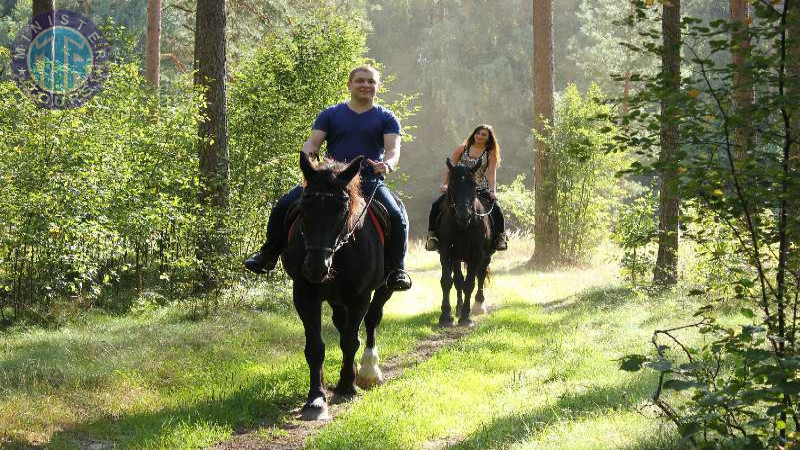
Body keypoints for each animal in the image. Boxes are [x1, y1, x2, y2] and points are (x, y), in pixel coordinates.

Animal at [282, 153, 394, 420]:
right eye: (305, 206)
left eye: (342, 209)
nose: (314, 267)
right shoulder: (305, 295)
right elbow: (315, 346)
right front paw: (316, 398)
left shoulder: (360, 296)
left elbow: (351, 341)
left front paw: (346, 386)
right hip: (335, 299)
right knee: (342, 324)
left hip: (383, 289)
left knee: (372, 320)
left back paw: (368, 371)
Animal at [432, 159, 494, 326]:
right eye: (452, 183)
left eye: (473, 184)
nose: (463, 215)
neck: (463, 226)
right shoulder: (446, 253)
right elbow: (447, 281)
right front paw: (446, 316)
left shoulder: (476, 255)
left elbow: (470, 284)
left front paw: (466, 317)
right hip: (457, 258)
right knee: (458, 280)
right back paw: (458, 308)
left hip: (486, 256)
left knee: (481, 275)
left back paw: (478, 305)